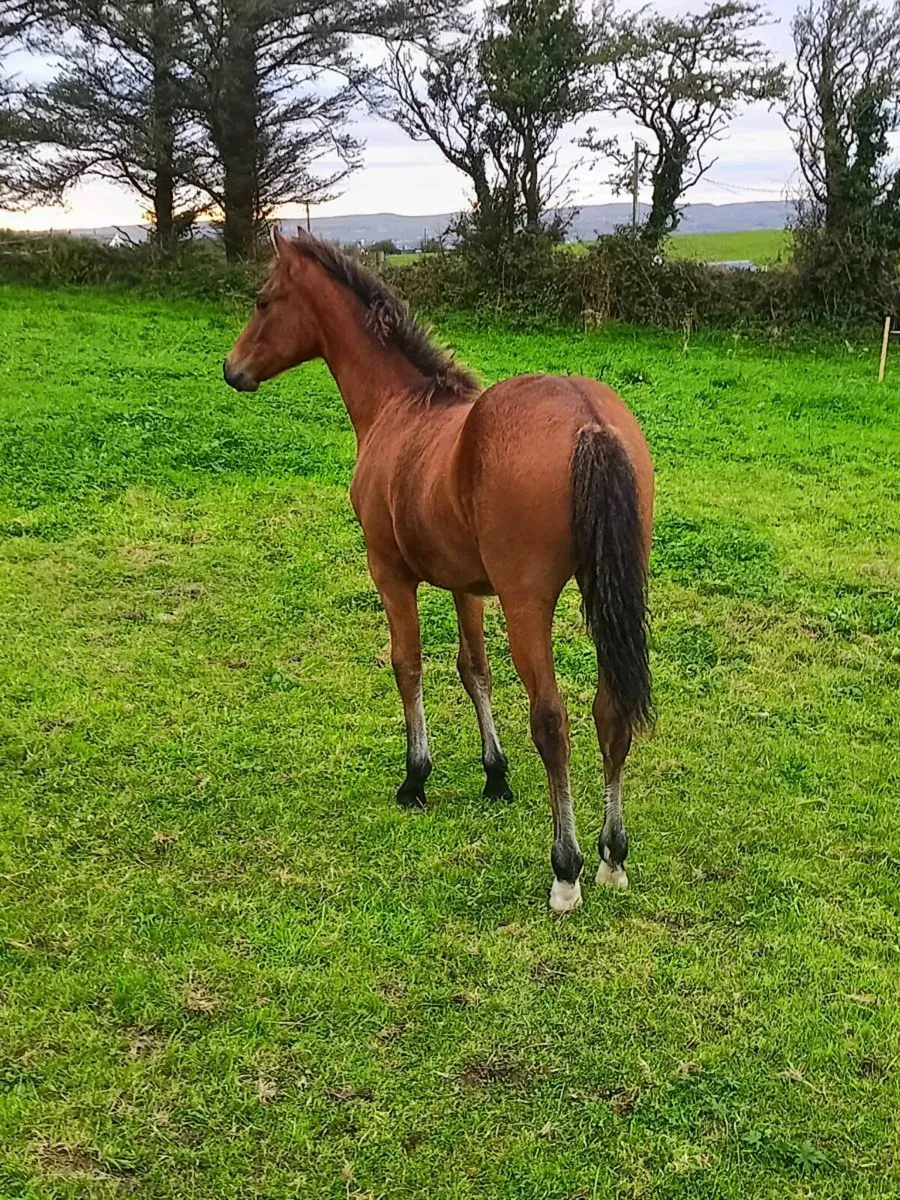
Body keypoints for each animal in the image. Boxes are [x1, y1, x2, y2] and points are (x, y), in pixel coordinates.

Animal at [224, 229, 653, 913]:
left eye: (263, 301)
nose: (232, 369)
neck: (399, 408)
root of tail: (587, 414)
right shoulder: (465, 586)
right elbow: (473, 669)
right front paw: (494, 774)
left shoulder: (389, 572)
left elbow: (408, 665)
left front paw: (415, 777)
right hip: (609, 591)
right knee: (609, 709)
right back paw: (612, 856)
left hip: (527, 603)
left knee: (553, 720)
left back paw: (567, 870)